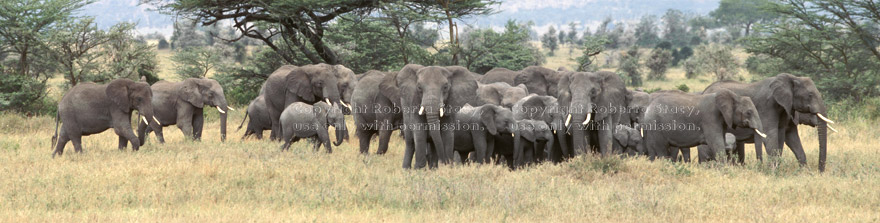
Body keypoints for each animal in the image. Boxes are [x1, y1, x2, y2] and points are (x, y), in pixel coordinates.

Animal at [700, 73, 832, 171]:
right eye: (810, 95)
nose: (820, 171)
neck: (792, 78)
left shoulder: (785, 109)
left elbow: (789, 137)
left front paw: (804, 172)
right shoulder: (767, 106)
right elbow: (770, 135)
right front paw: (773, 172)